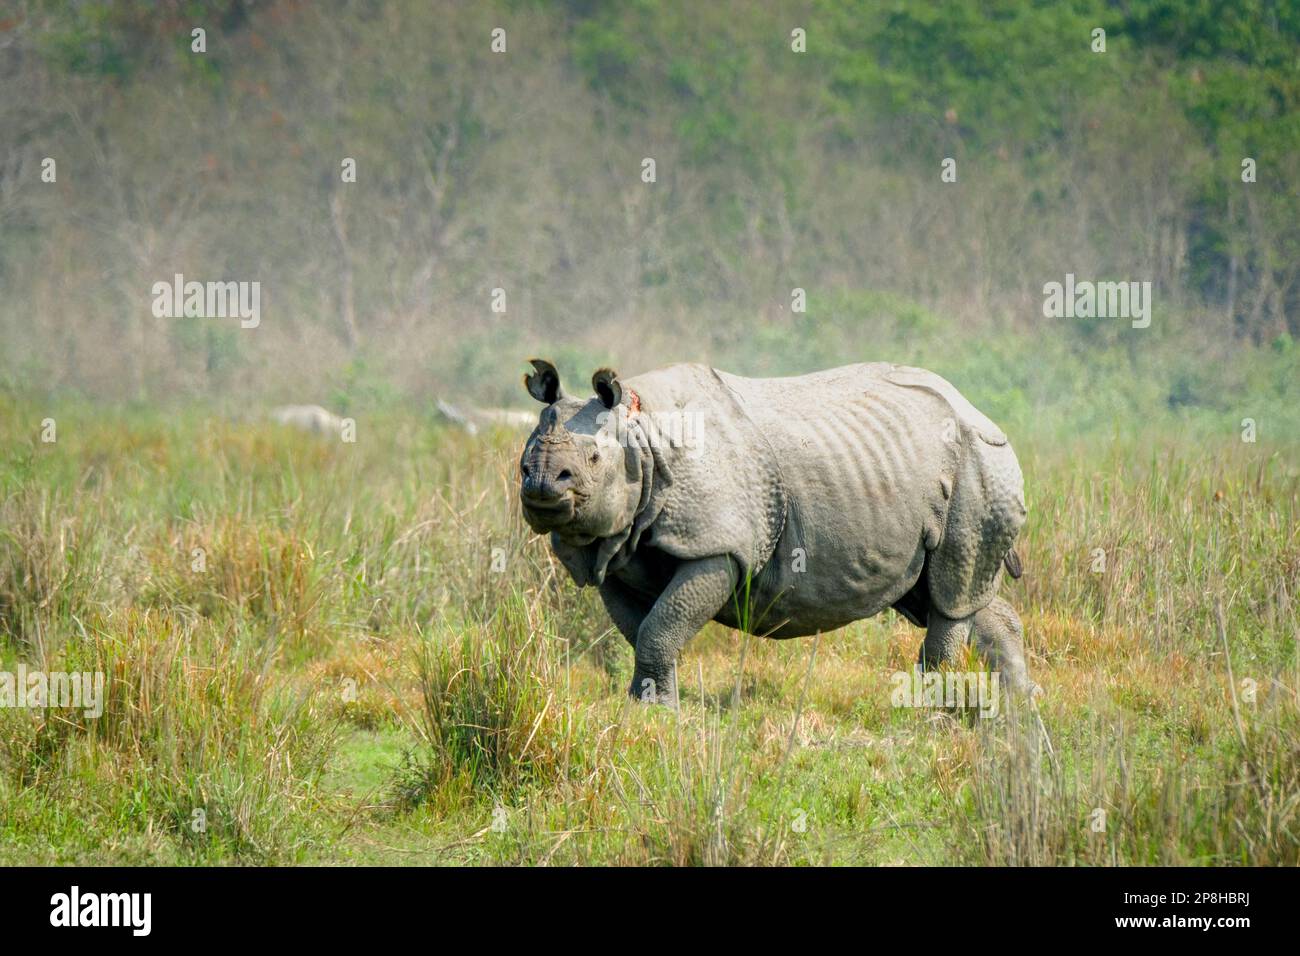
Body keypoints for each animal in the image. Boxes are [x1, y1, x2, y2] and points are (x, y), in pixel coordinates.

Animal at [517, 359, 1032, 705]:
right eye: (524, 457)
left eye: (593, 460)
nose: (541, 482)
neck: (640, 434)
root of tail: (979, 411)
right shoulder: (618, 550)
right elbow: (640, 628)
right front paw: (646, 706)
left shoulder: (720, 546)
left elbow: (659, 627)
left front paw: (658, 711)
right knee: (944, 593)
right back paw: (1017, 703)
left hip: (982, 462)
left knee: (951, 589)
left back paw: (928, 709)